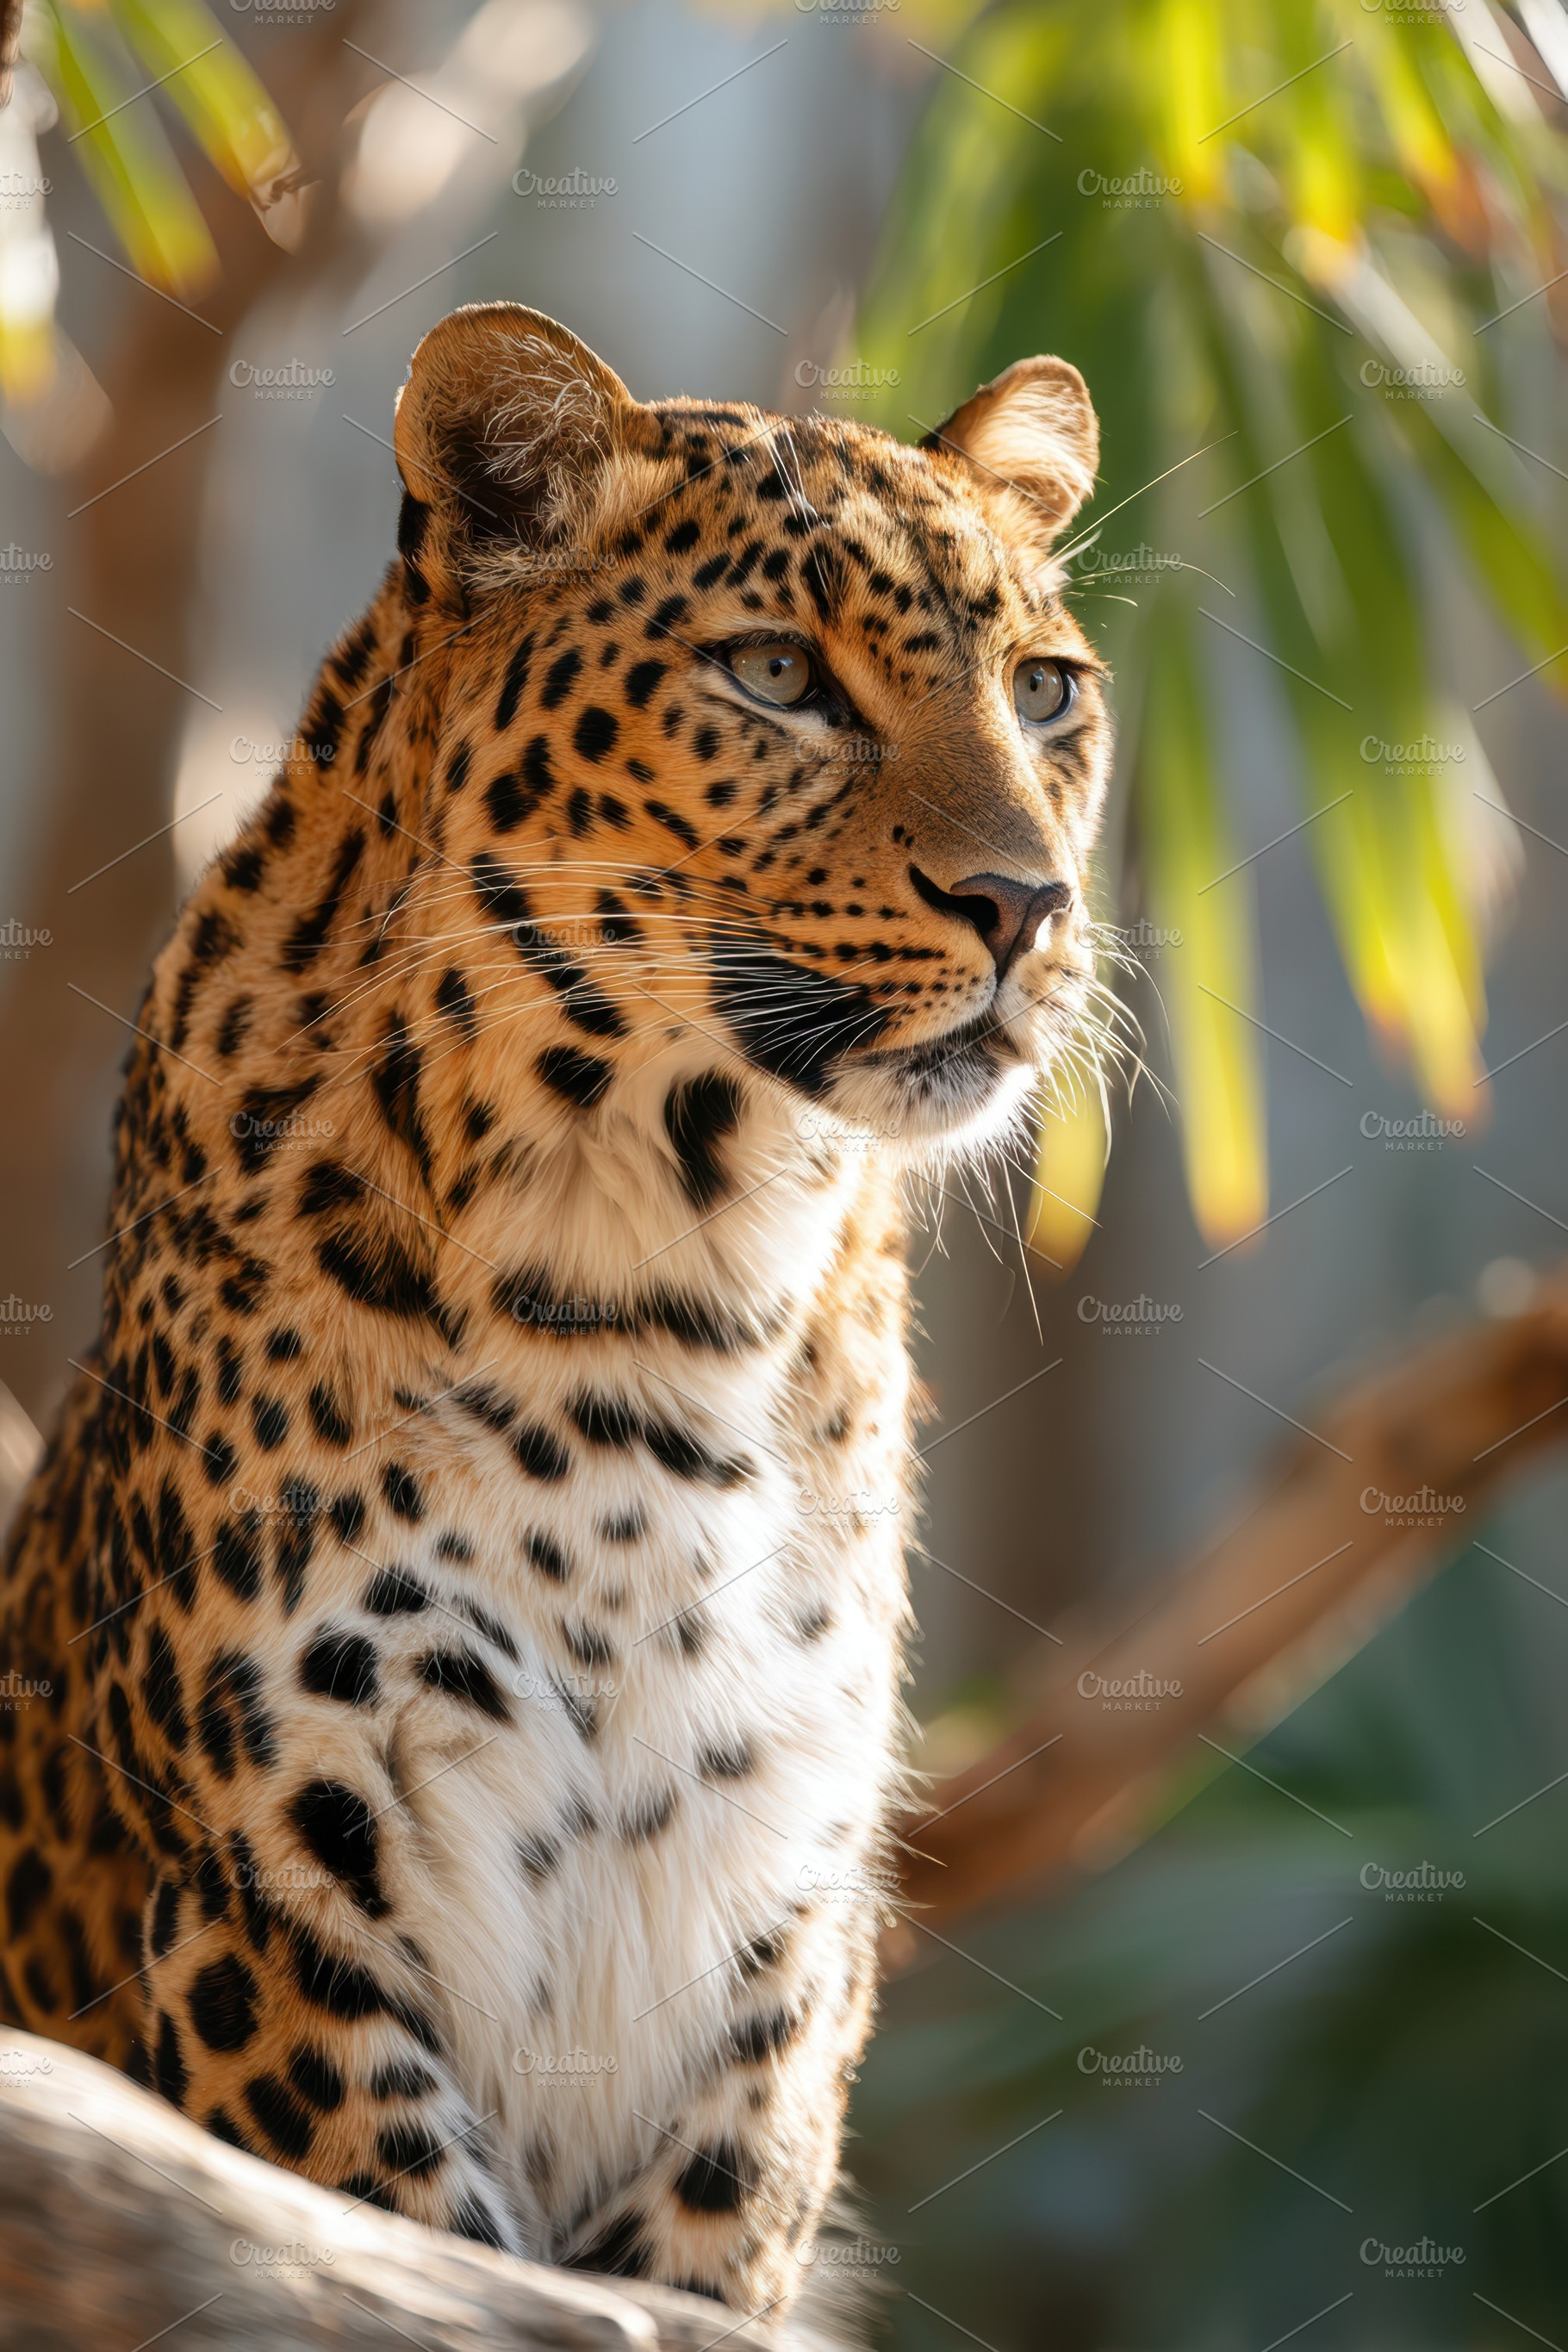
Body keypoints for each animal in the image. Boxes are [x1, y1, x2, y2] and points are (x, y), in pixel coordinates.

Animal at [0, 302, 1110, 2334]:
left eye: (1048, 691)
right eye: (776, 676)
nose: (1029, 906)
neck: (672, 1278)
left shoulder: (774, 1941)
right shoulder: (283, 1910)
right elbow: (395, 2259)